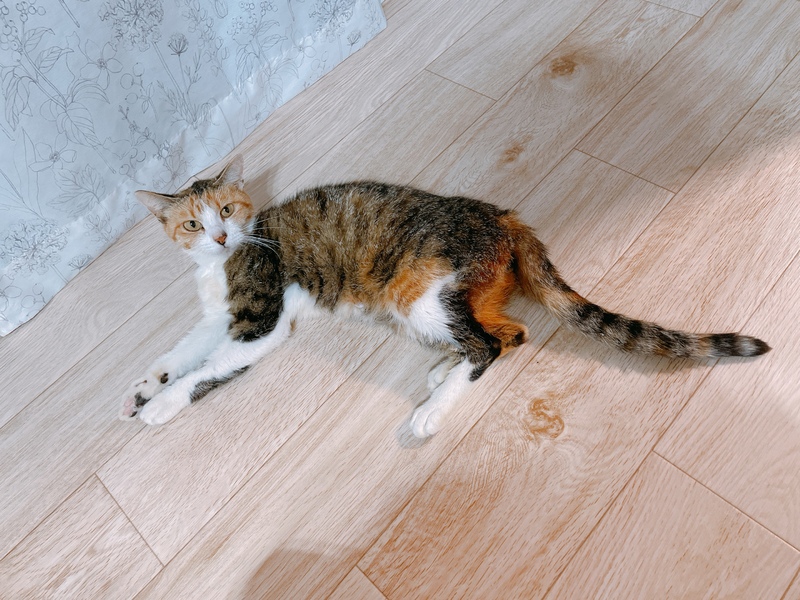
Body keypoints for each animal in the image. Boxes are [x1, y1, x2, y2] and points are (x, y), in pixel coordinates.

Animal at [120, 155, 770, 437]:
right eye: (193, 224)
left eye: (227, 211)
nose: (221, 236)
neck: (221, 266)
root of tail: (502, 217)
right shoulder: (216, 317)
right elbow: (185, 349)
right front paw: (147, 383)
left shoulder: (260, 319)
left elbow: (209, 367)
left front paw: (162, 403)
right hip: (432, 301)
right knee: (509, 331)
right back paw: (440, 372)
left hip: (417, 290)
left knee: (490, 343)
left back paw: (431, 409)